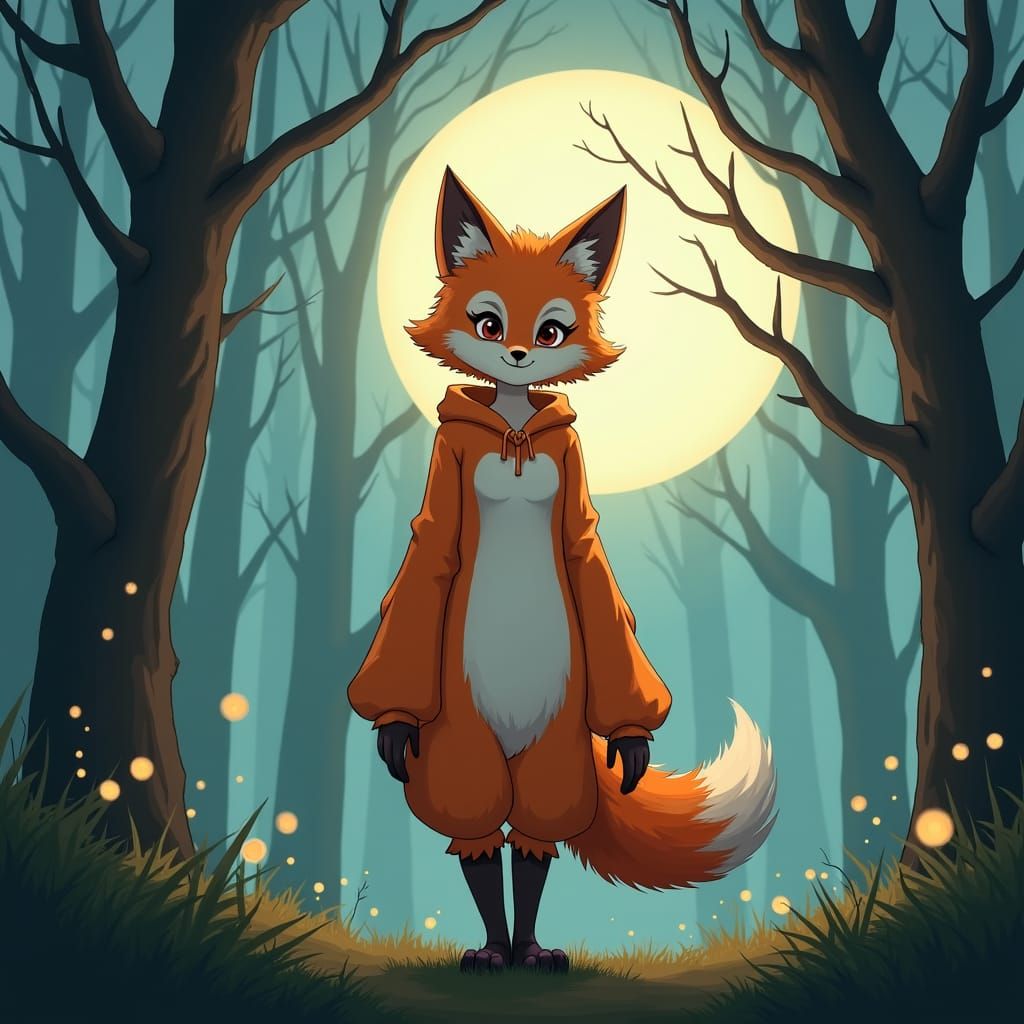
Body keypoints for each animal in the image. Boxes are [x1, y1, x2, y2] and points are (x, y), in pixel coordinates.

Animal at [348, 167, 776, 974]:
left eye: (550, 333)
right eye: (488, 325)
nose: (517, 356)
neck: (516, 424)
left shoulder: (575, 497)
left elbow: (584, 553)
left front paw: (634, 740)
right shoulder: (445, 485)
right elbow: (433, 552)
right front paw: (390, 726)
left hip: (560, 736)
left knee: (539, 825)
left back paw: (530, 950)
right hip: (462, 728)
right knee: (479, 818)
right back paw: (494, 951)